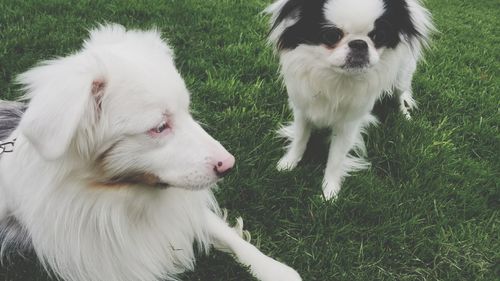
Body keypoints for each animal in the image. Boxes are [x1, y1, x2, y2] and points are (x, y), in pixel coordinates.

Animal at [0, 23, 300, 280]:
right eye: (159, 127)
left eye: (187, 111)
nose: (229, 164)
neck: (122, 197)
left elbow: (227, 233)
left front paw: (274, 269)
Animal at [266, 0, 434, 199]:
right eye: (331, 35)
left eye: (379, 36)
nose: (359, 43)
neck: (337, 79)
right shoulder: (303, 110)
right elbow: (300, 139)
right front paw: (289, 163)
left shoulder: (347, 125)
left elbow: (336, 158)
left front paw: (329, 192)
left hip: (401, 76)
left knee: (400, 95)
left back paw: (404, 115)